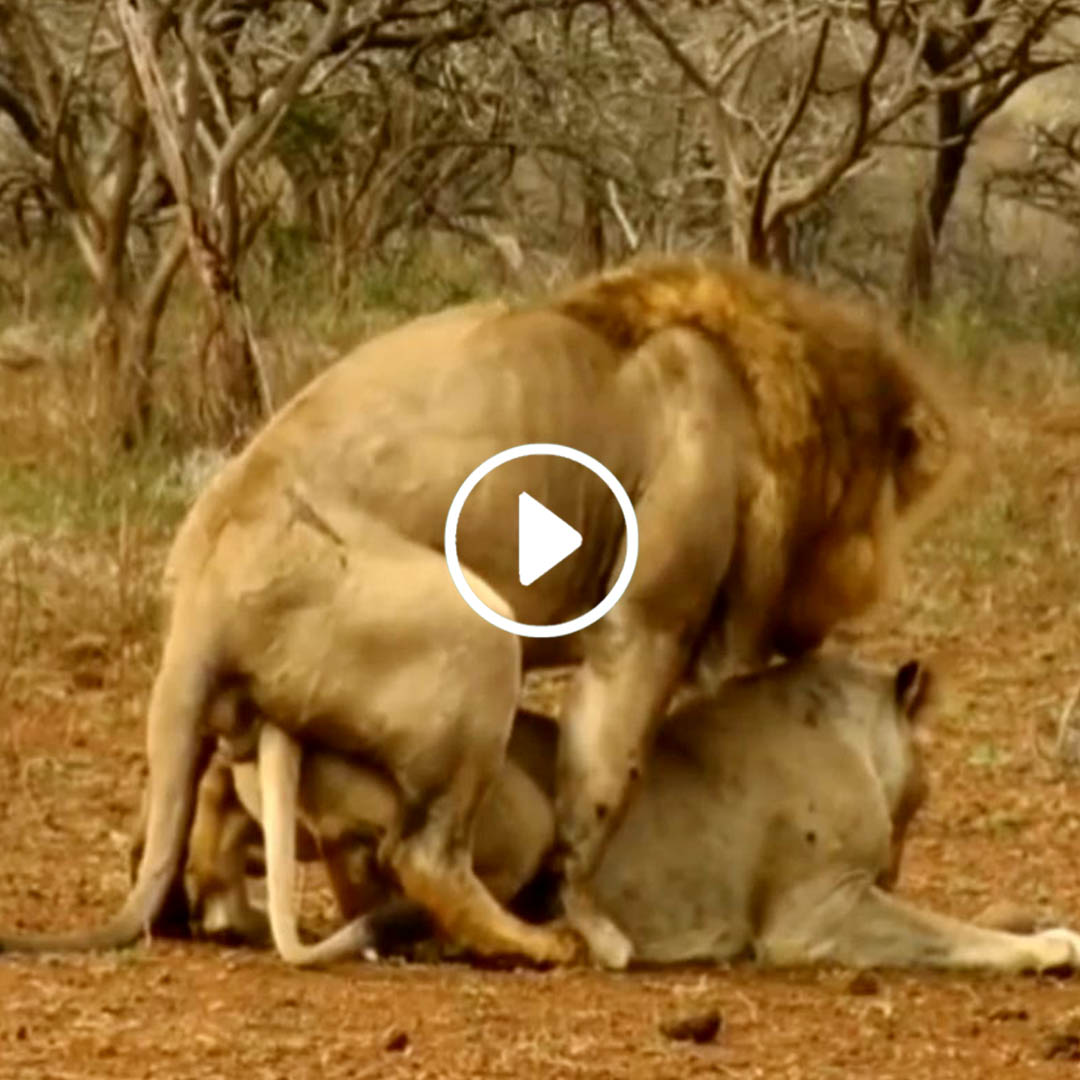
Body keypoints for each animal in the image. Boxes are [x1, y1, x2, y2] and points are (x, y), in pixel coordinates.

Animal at [0, 256, 964, 968]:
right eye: (884, 508)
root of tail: (201, 588)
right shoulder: (644, 625)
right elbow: (601, 790)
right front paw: (598, 928)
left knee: (183, 811)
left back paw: (209, 914)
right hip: (478, 628)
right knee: (424, 854)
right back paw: (535, 943)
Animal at [184, 655, 1080, 974]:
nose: (898, 863)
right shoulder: (817, 914)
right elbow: (951, 934)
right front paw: (1048, 947)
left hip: (291, 808)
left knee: (227, 788)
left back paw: (215, 896)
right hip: (519, 809)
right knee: (432, 890)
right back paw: (568, 938)